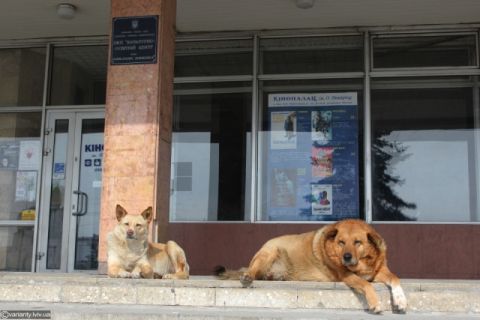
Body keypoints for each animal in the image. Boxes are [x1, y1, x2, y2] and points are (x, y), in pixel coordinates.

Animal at [216, 219, 406, 314]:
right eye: (341, 242)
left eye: (357, 242)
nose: (346, 257)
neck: (363, 262)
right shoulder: (345, 275)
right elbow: (366, 284)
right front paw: (375, 303)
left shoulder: (379, 271)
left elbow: (395, 278)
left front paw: (401, 300)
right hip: (269, 252)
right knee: (252, 271)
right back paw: (248, 276)